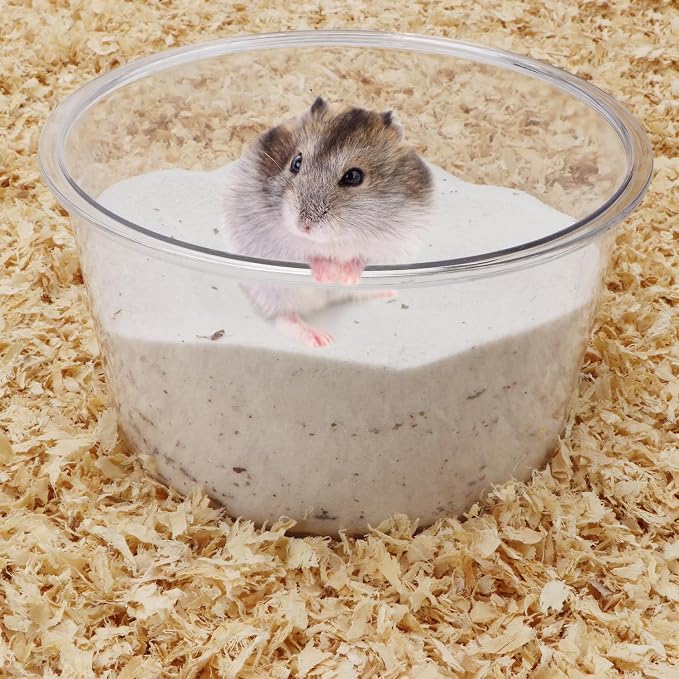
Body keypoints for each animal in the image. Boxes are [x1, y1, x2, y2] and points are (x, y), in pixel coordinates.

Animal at [223, 96, 434, 347]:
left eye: (354, 177)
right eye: (296, 162)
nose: (303, 227)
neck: (334, 239)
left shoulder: (392, 243)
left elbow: (362, 256)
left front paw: (344, 276)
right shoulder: (273, 242)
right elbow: (305, 253)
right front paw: (327, 274)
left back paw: (388, 292)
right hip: (273, 290)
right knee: (284, 318)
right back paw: (320, 339)